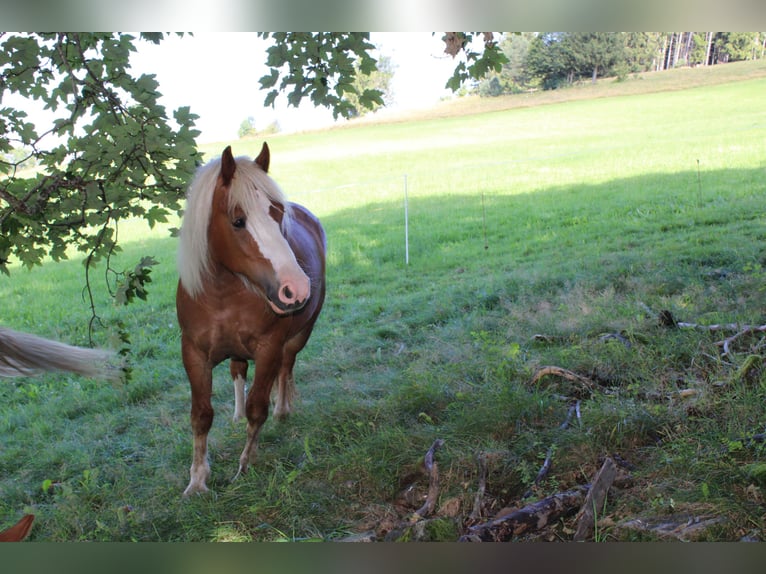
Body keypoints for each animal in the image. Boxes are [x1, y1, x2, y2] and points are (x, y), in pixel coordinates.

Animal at [177, 142, 328, 498]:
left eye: (277, 213)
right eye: (237, 221)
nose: (296, 288)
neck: (222, 296)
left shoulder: (269, 347)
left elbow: (257, 408)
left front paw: (245, 466)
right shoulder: (193, 353)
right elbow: (201, 415)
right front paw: (197, 480)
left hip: (298, 336)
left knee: (286, 367)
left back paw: (283, 409)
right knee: (238, 371)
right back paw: (235, 413)